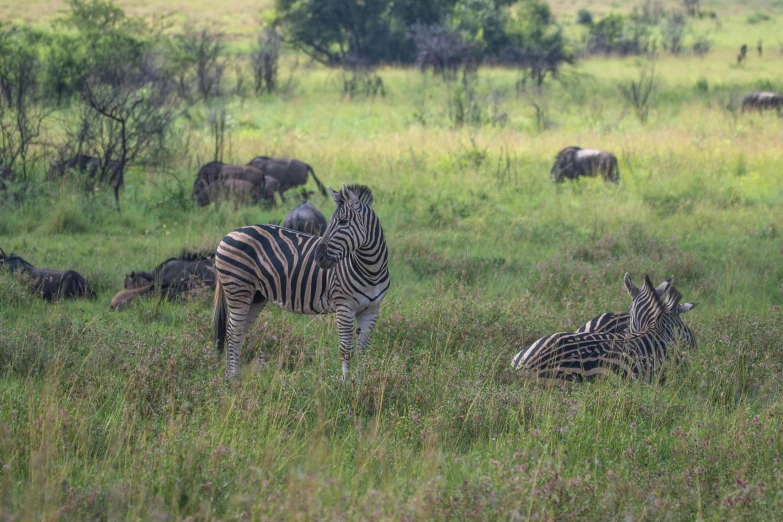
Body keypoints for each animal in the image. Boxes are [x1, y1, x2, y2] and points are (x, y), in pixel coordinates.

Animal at [213, 185, 390, 376]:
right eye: (330, 222)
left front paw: (362, 380)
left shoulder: (371, 309)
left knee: (238, 333)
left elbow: (364, 350)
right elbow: (346, 349)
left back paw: (233, 376)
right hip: (238, 288)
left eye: (343, 222)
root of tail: (230, 233)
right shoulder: (344, 307)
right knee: (232, 333)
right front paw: (346, 382)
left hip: (256, 296)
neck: (371, 269)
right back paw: (232, 377)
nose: (318, 258)